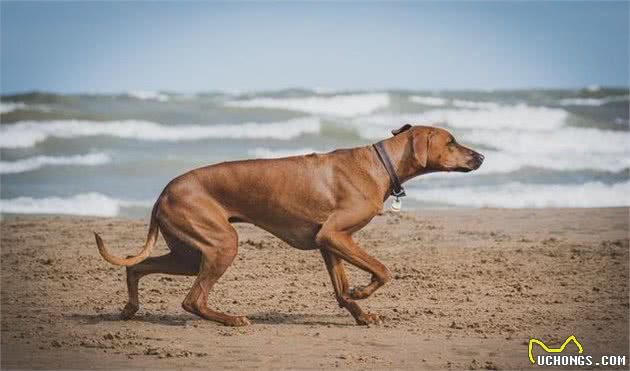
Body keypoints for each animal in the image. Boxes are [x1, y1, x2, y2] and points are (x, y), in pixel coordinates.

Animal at [96, 124, 486, 326]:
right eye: (451, 141)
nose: (482, 156)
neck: (380, 164)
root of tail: (163, 192)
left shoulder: (330, 243)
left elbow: (341, 289)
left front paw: (359, 311)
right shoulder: (334, 235)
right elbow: (383, 270)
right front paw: (363, 293)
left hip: (191, 253)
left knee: (138, 267)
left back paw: (130, 308)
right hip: (222, 244)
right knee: (192, 299)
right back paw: (230, 319)